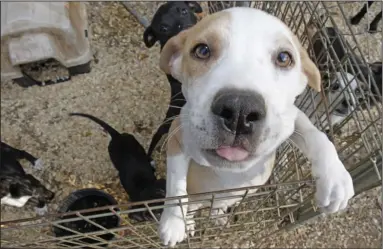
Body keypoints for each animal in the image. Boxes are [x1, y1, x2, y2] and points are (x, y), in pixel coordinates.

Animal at [158, 6, 356, 246]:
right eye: (202, 50)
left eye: (284, 58)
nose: (239, 111)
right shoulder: (178, 134)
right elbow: (176, 188)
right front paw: (173, 222)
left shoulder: (291, 118)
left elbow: (316, 136)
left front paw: (334, 178)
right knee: (194, 204)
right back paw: (188, 221)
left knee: (218, 204)